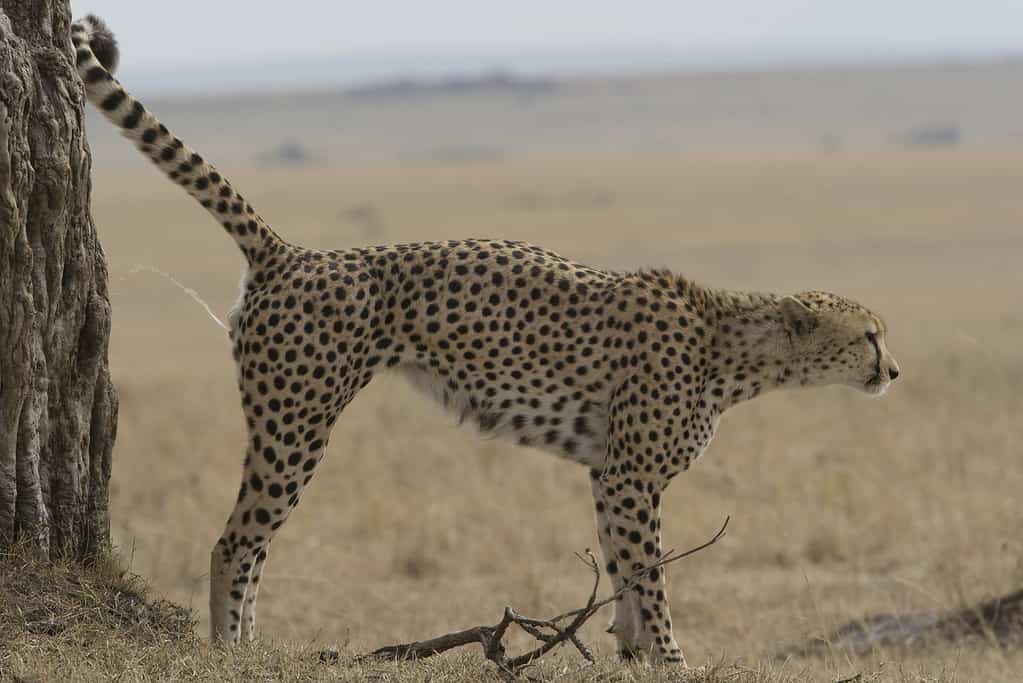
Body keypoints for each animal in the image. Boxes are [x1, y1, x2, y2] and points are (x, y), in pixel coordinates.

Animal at [75, 17, 900, 666]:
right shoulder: (631, 473)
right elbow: (650, 573)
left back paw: (252, 644)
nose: (893, 369)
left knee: (254, 541)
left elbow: (622, 566)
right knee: (235, 540)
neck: (734, 349)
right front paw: (669, 656)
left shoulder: (607, 472)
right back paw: (229, 651)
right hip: (295, 424)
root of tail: (296, 253)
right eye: (868, 335)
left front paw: (632, 651)